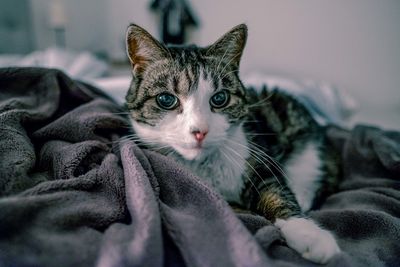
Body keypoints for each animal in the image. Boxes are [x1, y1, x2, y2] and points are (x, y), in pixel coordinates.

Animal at [124, 23, 340, 266]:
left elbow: (276, 192)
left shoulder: (258, 158)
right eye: (166, 99)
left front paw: (309, 234)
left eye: (220, 99)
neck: (205, 167)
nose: (200, 131)